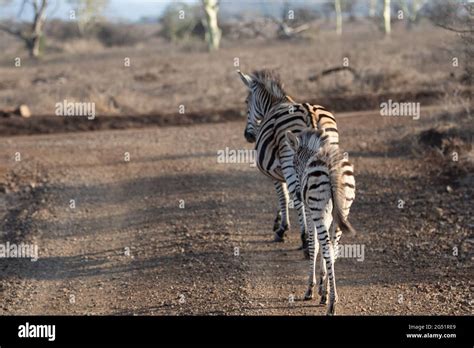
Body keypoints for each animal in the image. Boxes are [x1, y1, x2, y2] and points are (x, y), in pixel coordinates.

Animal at [236, 68, 338, 256]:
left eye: (247, 102)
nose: (248, 136)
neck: (275, 104)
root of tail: (309, 112)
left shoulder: (276, 171)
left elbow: (283, 196)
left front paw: (282, 228)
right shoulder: (283, 171)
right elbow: (287, 196)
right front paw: (278, 222)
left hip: (290, 160)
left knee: (299, 199)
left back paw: (306, 240)